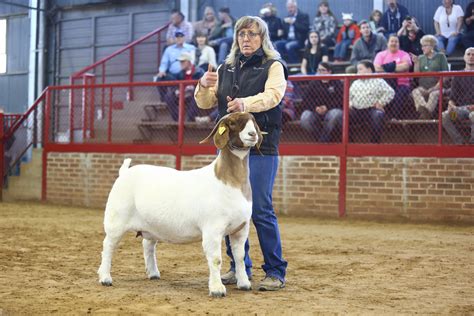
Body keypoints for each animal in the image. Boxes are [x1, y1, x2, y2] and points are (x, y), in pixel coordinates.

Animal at [96, 112, 262, 298]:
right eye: (232, 123)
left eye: (253, 122)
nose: (252, 135)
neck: (229, 182)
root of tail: (124, 172)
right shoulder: (212, 229)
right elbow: (215, 259)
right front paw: (217, 289)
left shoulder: (241, 228)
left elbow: (240, 257)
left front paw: (244, 284)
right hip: (116, 219)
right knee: (108, 246)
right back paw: (105, 278)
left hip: (151, 225)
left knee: (148, 245)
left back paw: (153, 273)